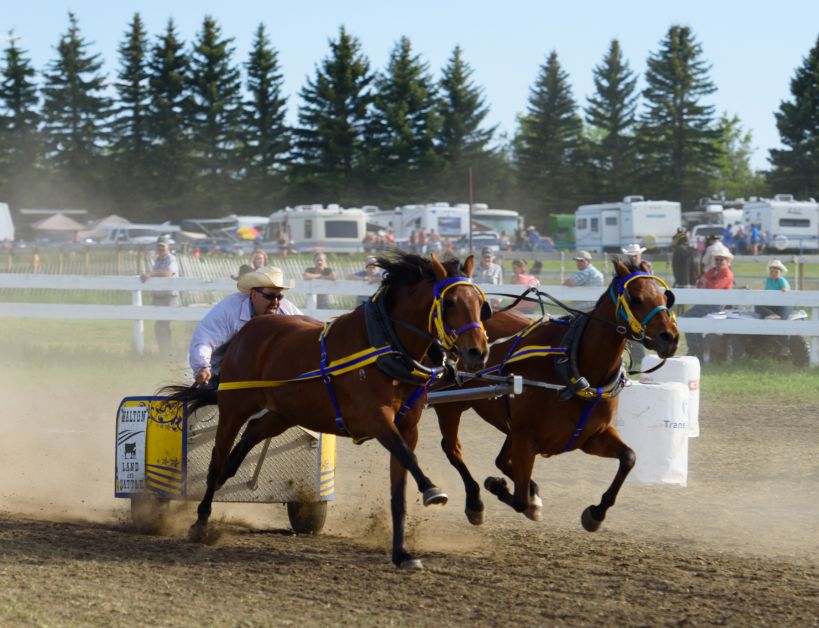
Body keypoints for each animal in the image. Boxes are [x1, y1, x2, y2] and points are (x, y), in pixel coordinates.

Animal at [163, 251, 490, 568]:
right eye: (449, 302)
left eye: (480, 303)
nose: (478, 352)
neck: (385, 345)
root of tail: (248, 331)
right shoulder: (376, 420)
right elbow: (409, 458)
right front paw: (433, 490)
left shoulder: (408, 428)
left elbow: (400, 489)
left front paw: (402, 554)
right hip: (234, 409)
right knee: (217, 460)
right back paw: (201, 520)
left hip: (283, 414)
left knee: (250, 436)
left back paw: (226, 477)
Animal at [432, 258, 676, 528]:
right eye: (636, 298)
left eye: (665, 296)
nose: (670, 337)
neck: (576, 369)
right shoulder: (526, 437)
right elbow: (520, 500)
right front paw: (500, 487)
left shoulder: (590, 437)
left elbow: (629, 457)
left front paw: (596, 513)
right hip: (451, 406)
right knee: (453, 449)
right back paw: (475, 501)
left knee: (500, 460)